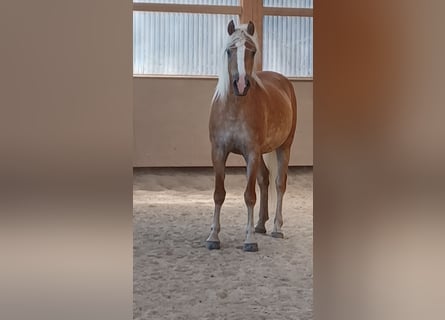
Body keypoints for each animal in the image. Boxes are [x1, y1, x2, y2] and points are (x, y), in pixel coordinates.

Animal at [206, 20, 296, 251]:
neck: (235, 108)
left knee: (279, 183)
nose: (240, 84)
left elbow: (249, 196)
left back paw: (276, 228)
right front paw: (213, 237)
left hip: (284, 147)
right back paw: (260, 225)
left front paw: (249, 240)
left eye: (252, 51)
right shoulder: (218, 152)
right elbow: (219, 194)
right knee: (264, 180)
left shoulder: (252, 152)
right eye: (229, 51)